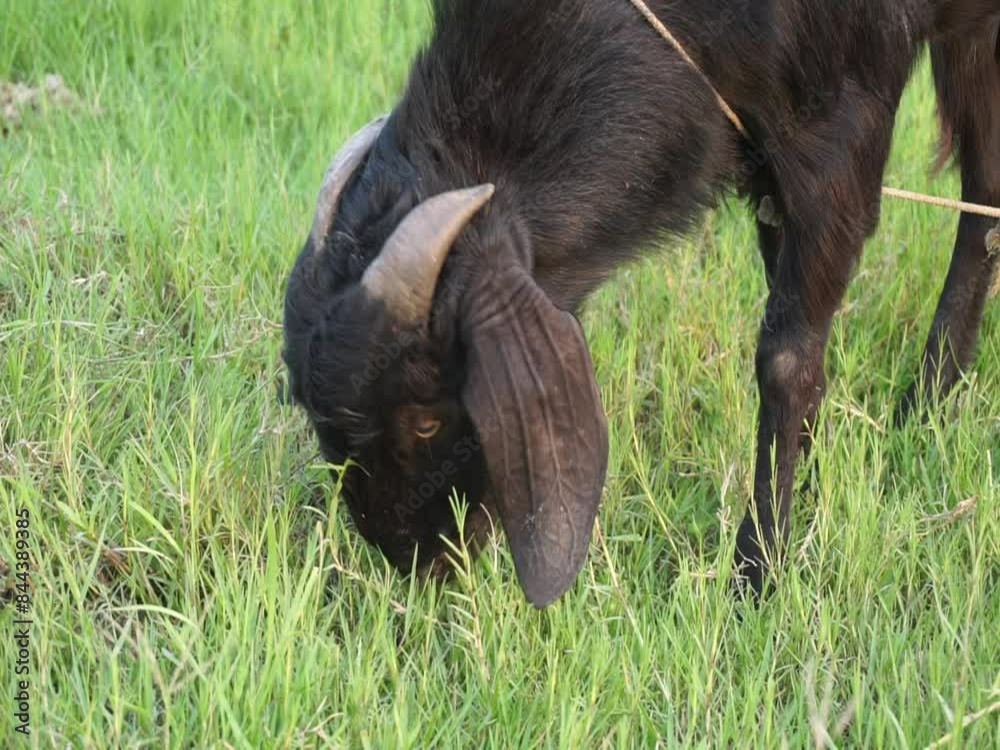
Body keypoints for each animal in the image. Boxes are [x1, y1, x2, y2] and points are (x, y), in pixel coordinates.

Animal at [283, 0, 1000, 607]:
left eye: (427, 418)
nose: (419, 560)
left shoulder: (840, 124)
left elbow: (787, 359)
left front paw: (757, 570)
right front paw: (812, 474)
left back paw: (927, 399)